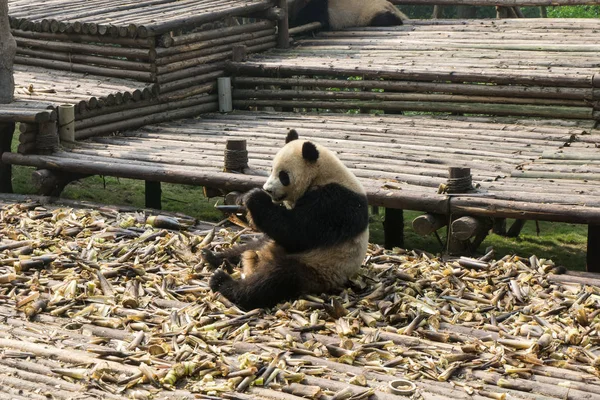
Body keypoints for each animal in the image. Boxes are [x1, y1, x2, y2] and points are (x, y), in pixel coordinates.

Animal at [207, 130, 370, 310]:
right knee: (248, 247)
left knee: (276, 279)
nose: (268, 190)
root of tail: (262, 258)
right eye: (271, 169)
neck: (321, 175)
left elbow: (297, 232)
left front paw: (254, 197)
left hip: (316, 269)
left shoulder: (334, 204)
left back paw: (223, 282)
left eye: (283, 176)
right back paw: (213, 256)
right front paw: (244, 200)